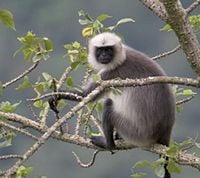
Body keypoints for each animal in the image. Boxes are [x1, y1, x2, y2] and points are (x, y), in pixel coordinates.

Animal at [48, 32, 175, 178]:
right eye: (100, 50)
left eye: (108, 49)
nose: (104, 56)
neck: (122, 57)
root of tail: (165, 131)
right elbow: (85, 95)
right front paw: (55, 97)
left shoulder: (110, 72)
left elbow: (87, 96)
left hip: (136, 133)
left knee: (108, 104)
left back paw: (108, 145)